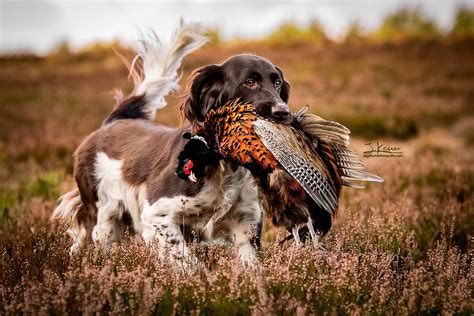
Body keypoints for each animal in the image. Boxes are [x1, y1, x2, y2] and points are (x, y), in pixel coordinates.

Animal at [54, 22, 292, 270]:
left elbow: (251, 267)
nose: (283, 112)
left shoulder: (245, 223)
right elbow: (189, 263)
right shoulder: (157, 214)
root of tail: (114, 121)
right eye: (250, 82)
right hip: (104, 215)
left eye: (277, 83)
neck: (223, 166)